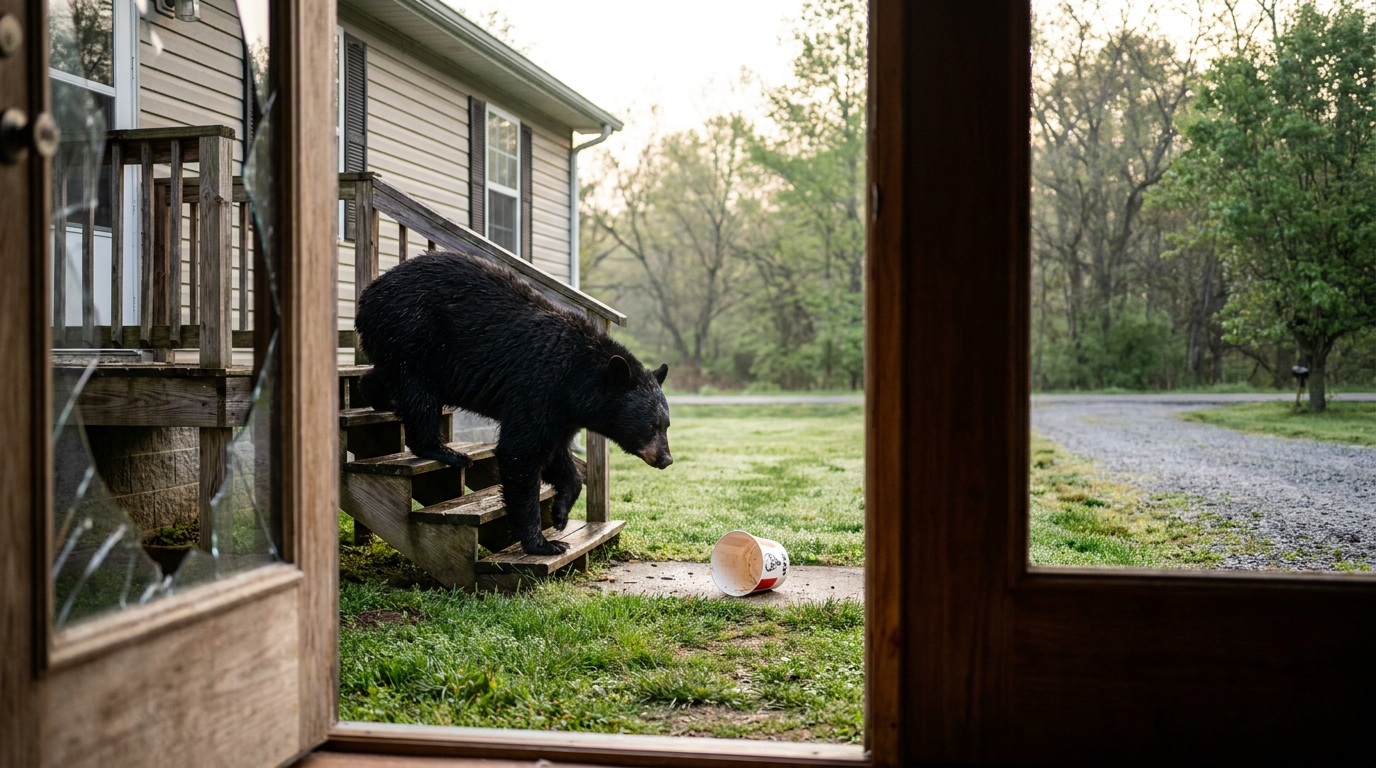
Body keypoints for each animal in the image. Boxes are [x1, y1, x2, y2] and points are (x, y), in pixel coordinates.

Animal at [355, 249, 673, 556]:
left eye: (666, 424)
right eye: (651, 425)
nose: (666, 459)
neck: (577, 377)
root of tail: (368, 293)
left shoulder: (563, 412)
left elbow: (557, 454)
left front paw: (560, 514)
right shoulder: (539, 386)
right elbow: (519, 453)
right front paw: (542, 543)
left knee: (387, 378)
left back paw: (375, 396)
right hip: (413, 332)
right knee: (419, 392)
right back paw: (446, 452)